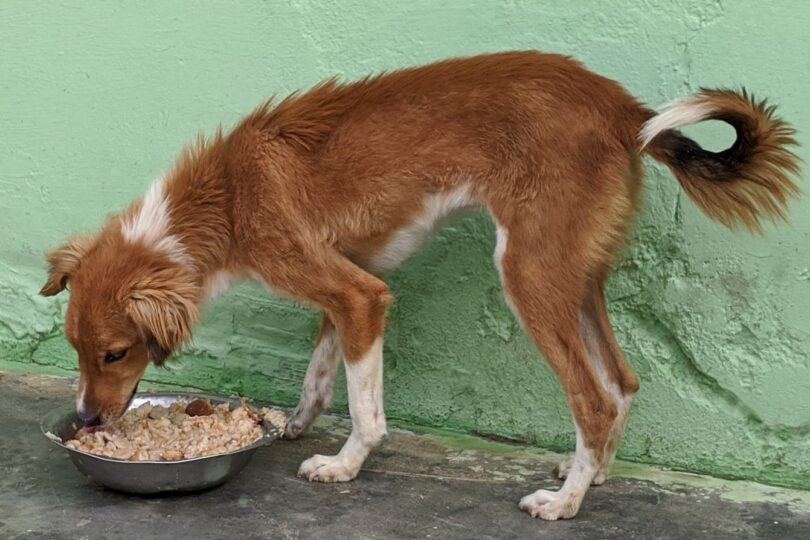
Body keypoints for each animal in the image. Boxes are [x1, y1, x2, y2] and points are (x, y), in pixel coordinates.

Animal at [39, 52, 796, 520]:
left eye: (115, 353)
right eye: (75, 350)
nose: (88, 421)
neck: (220, 202)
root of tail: (625, 108)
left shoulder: (359, 295)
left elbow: (366, 409)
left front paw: (345, 465)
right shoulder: (349, 286)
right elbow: (320, 375)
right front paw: (292, 424)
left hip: (528, 274)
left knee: (593, 397)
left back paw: (566, 505)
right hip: (575, 276)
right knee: (622, 382)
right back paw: (594, 472)